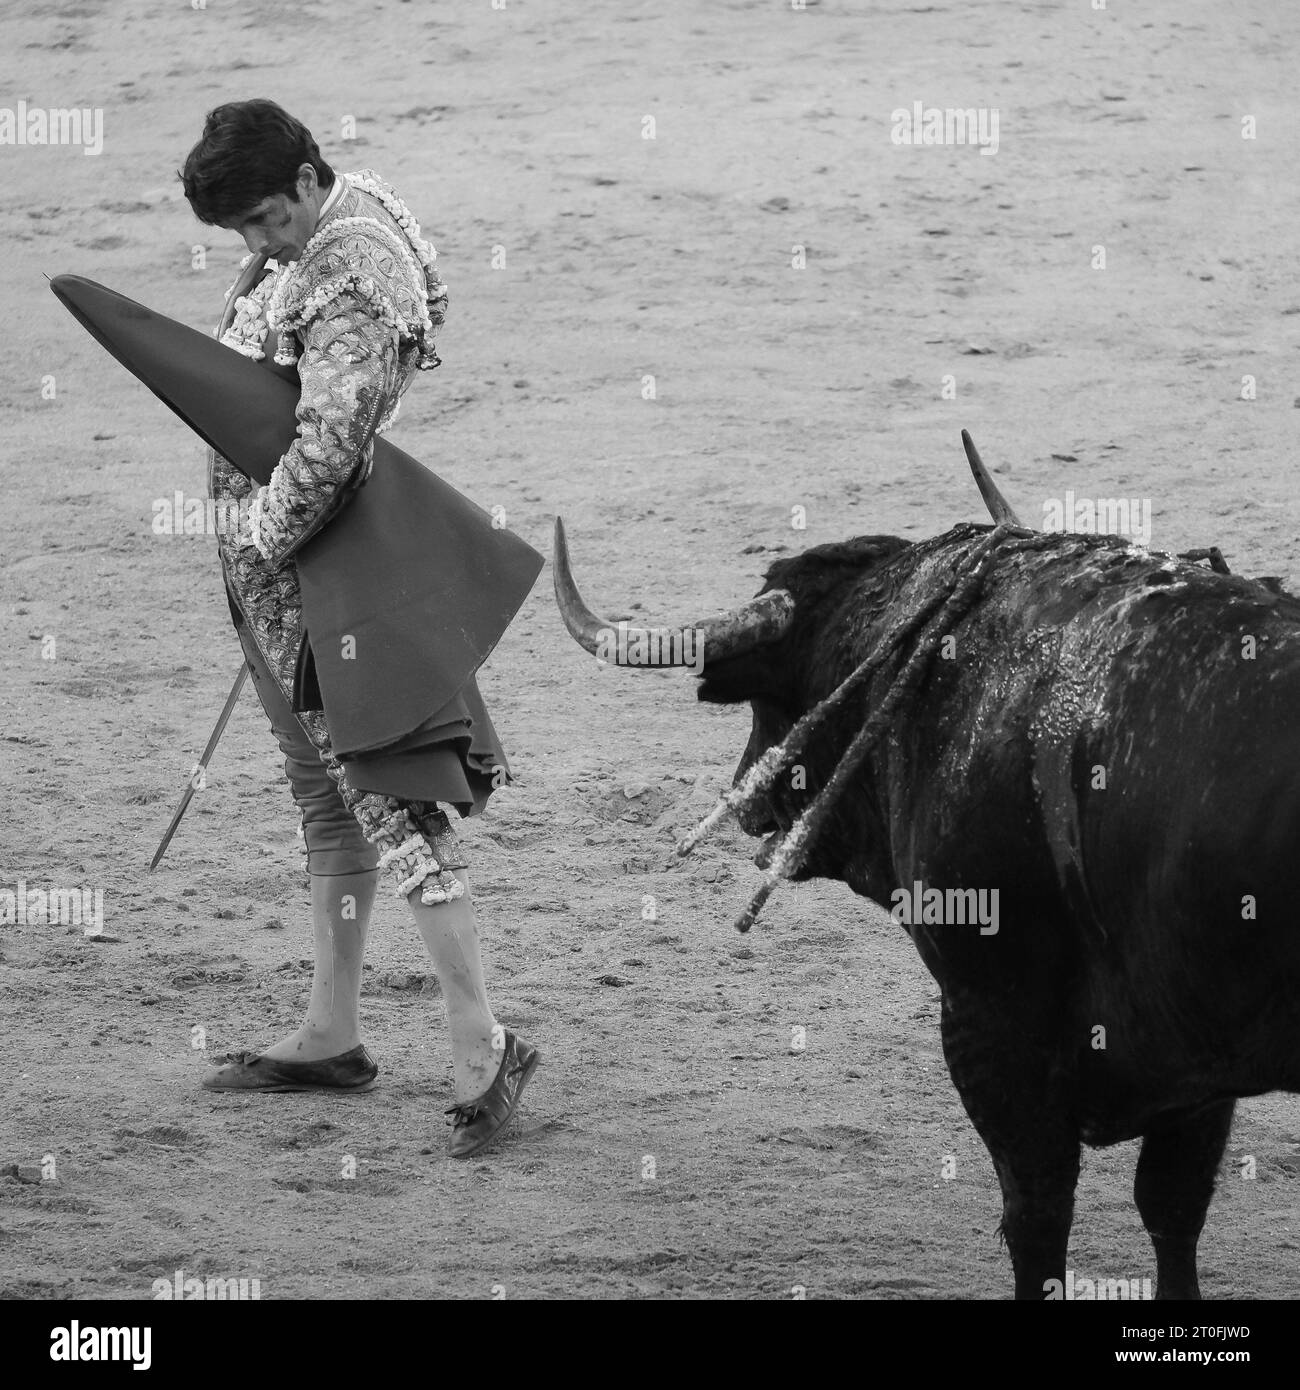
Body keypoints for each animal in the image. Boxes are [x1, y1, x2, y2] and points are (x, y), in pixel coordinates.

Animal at [550, 483, 1300, 1295]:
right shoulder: (1195, 1072)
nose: (744, 791)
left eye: (768, 699)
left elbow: (1040, 1218)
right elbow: (1172, 1209)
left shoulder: (990, 1024)